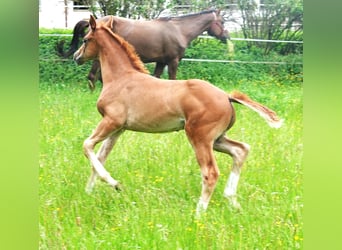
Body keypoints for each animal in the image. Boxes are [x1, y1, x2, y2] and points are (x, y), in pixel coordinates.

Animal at [59, 9, 230, 90]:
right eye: (222, 21)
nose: (227, 36)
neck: (179, 30)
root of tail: (93, 21)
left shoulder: (161, 62)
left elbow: (157, 78)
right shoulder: (173, 61)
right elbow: (173, 80)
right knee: (92, 77)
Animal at [73, 15, 284, 215]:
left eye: (85, 39)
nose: (76, 56)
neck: (121, 78)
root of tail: (227, 96)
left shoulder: (111, 121)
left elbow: (87, 146)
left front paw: (113, 183)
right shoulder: (119, 129)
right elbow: (100, 157)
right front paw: (89, 192)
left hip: (199, 137)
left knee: (210, 172)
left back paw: (198, 215)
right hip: (217, 139)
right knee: (241, 150)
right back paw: (233, 201)